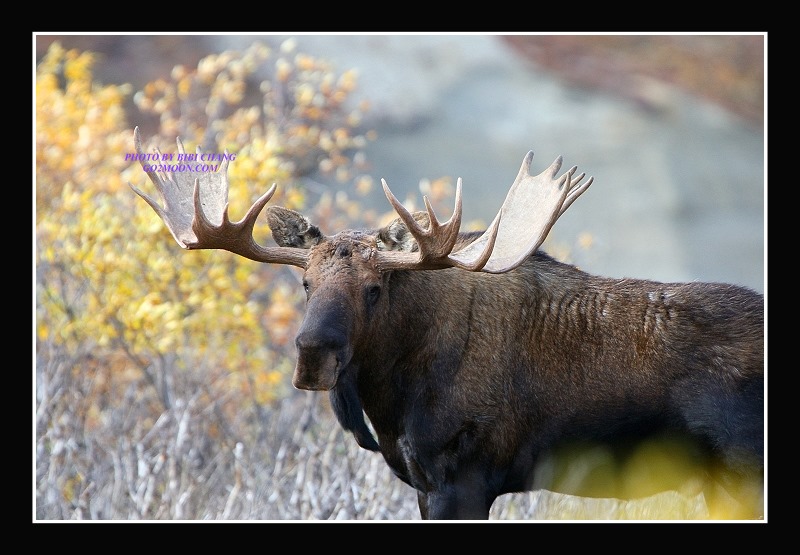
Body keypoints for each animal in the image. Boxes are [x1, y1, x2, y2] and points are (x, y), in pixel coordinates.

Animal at [130, 127, 764, 520]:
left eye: (375, 287)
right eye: (305, 283)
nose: (313, 355)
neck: (393, 397)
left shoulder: (463, 479)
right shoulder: (425, 483)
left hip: (740, 471)